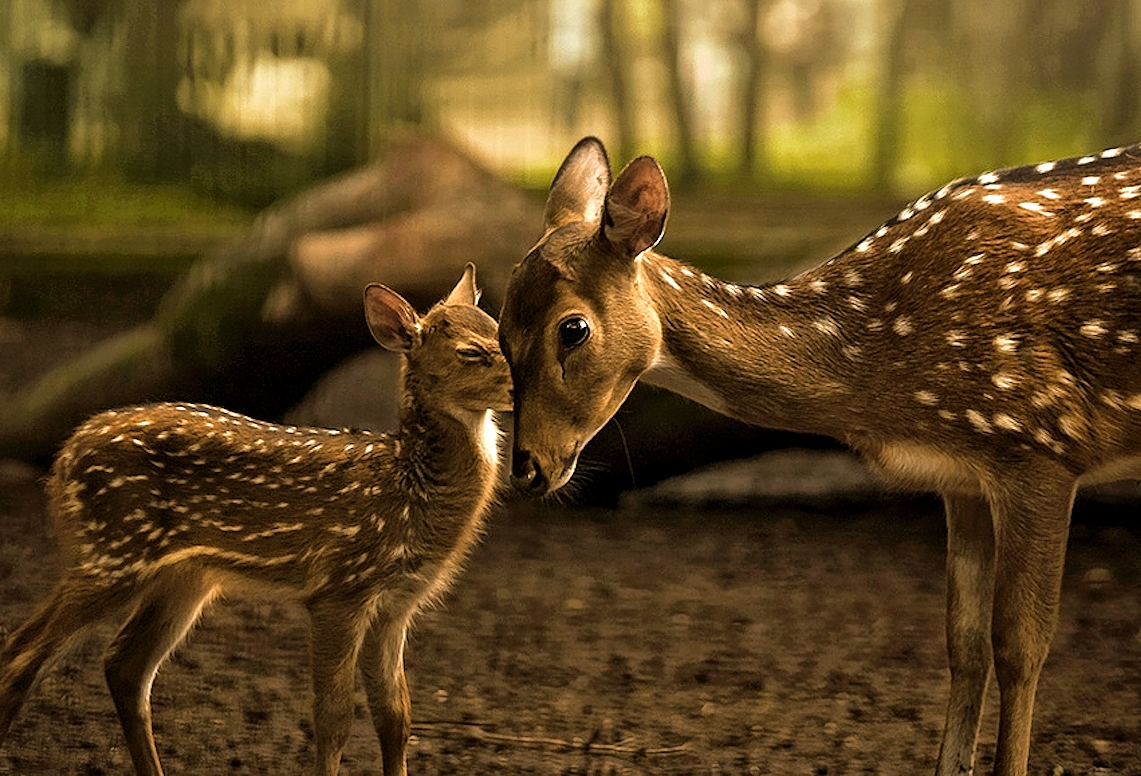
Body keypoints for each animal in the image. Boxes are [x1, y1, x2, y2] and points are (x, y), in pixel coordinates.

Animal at [0, 264, 511, 776]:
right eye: (471, 351)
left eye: (500, 329)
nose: (521, 386)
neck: (408, 489)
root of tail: (63, 458)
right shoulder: (339, 587)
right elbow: (334, 715)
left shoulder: (397, 604)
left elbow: (396, 716)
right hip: (111, 550)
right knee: (23, 652)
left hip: (181, 577)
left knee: (123, 665)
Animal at [499, 140, 1141, 776]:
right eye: (499, 332)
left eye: (573, 328)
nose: (528, 468)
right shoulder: (961, 478)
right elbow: (964, 645)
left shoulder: (1040, 440)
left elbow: (1019, 648)